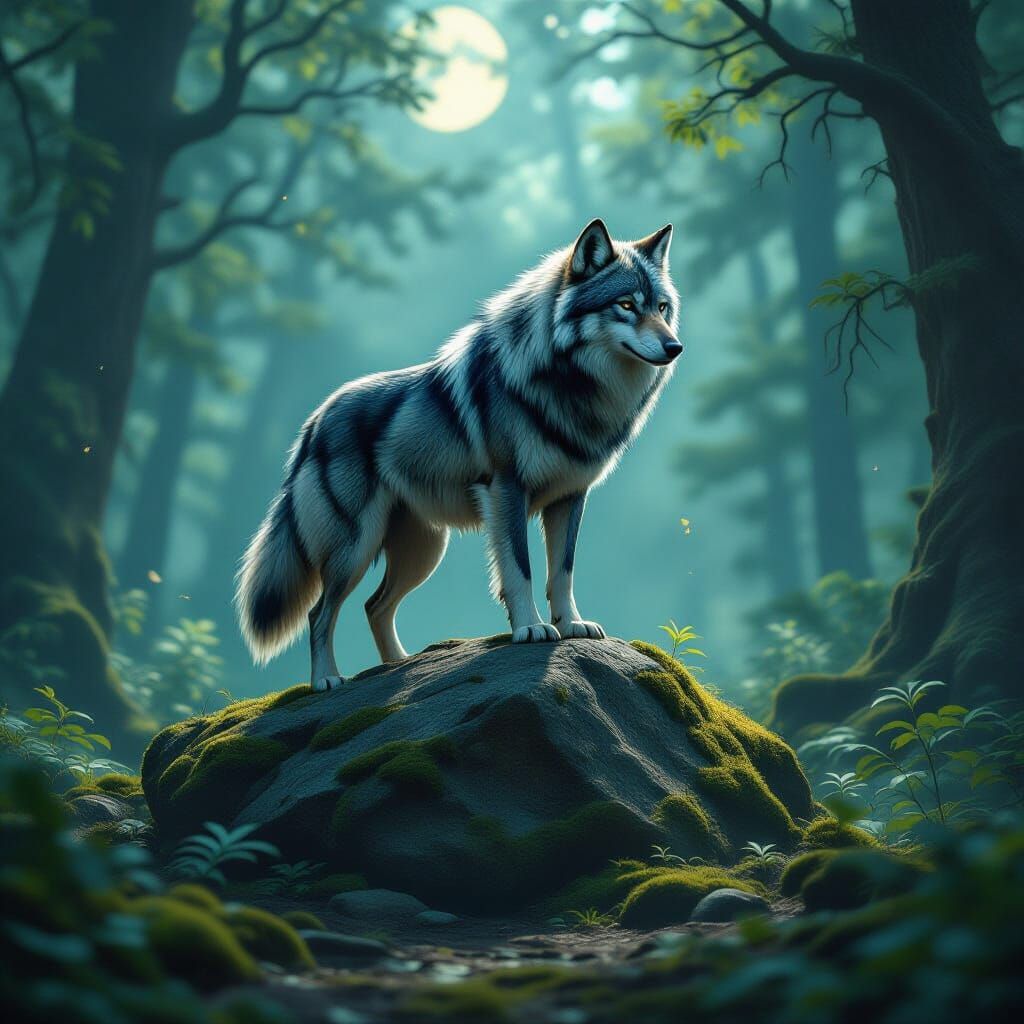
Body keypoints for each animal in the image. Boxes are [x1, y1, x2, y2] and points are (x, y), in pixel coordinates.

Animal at [236, 218, 682, 690]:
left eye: (662, 307)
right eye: (626, 305)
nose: (675, 347)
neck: (573, 387)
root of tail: (313, 423)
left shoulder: (570, 498)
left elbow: (562, 572)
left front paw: (572, 625)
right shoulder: (507, 491)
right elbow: (520, 571)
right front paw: (531, 628)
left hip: (423, 553)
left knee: (374, 606)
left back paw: (398, 666)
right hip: (355, 549)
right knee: (320, 613)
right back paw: (327, 680)